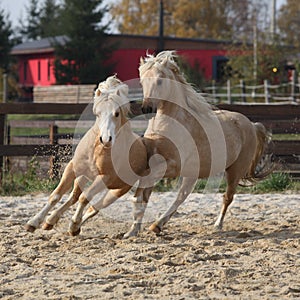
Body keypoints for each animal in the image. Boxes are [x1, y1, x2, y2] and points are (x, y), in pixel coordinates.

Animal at [25, 75, 148, 237]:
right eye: (97, 114)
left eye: (116, 113)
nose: (106, 139)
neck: (97, 150)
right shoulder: (72, 168)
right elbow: (56, 196)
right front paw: (33, 222)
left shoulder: (105, 177)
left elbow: (85, 198)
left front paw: (73, 225)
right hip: (83, 177)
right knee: (74, 197)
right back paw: (50, 221)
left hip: (118, 189)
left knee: (93, 206)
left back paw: (74, 227)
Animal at [127, 50, 270, 236]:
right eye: (142, 81)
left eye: (160, 80)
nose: (147, 108)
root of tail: (252, 125)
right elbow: (144, 192)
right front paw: (132, 231)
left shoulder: (173, 166)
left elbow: (145, 189)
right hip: (193, 174)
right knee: (182, 195)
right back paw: (157, 225)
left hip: (235, 170)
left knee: (227, 197)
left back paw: (217, 225)